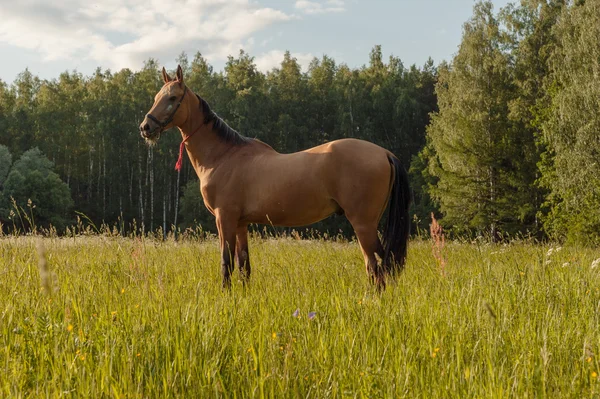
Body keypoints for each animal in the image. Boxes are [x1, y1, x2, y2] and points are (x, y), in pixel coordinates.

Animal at [139, 65, 410, 290]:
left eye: (172, 98)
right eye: (156, 98)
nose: (145, 127)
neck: (223, 156)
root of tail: (384, 153)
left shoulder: (224, 219)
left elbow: (226, 263)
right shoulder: (241, 224)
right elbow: (244, 265)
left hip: (363, 224)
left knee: (377, 266)